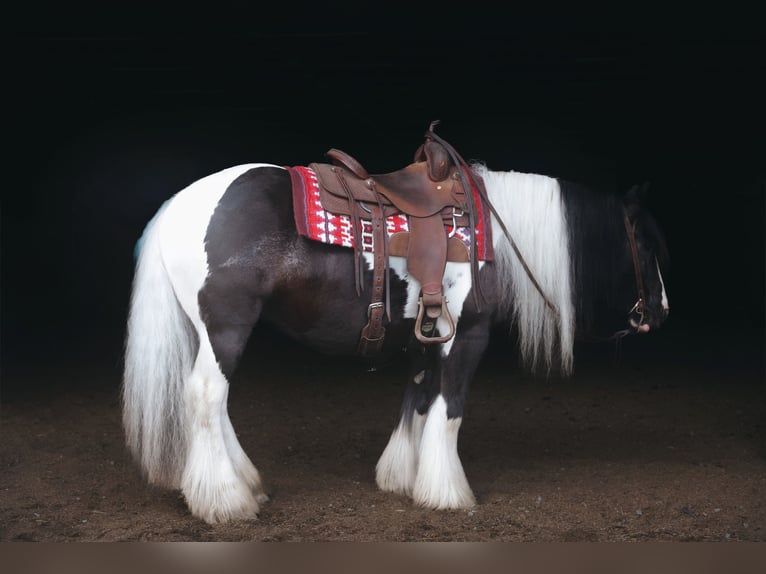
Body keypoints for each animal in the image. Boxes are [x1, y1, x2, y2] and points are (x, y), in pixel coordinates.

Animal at [122, 125, 670, 524]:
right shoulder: (467, 335)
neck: (492, 230)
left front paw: (404, 476)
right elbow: (450, 408)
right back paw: (224, 499)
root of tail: (177, 205)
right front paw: (447, 491)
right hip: (226, 327)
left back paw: (244, 484)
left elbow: (419, 398)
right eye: (646, 245)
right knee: (206, 394)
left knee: (214, 403)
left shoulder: (425, 336)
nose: (661, 310)